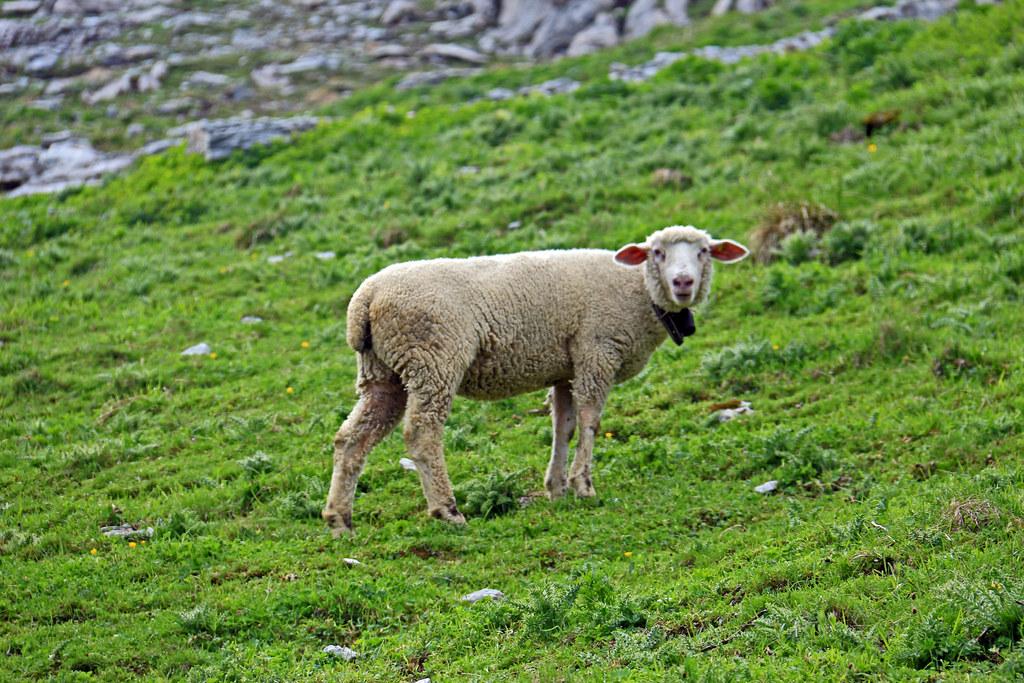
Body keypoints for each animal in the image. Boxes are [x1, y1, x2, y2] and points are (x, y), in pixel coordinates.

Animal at [323, 225, 749, 532]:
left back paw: (340, 519)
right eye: (657, 253)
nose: (683, 283)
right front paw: (583, 486)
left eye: (703, 251)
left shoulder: (565, 368)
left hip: (384, 373)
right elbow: (591, 421)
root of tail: (365, 301)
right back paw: (447, 510)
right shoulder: (596, 352)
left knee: (351, 438)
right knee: (422, 434)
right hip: (433, 360)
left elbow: (564, 426)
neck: (639, 291)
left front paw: (556, 488)